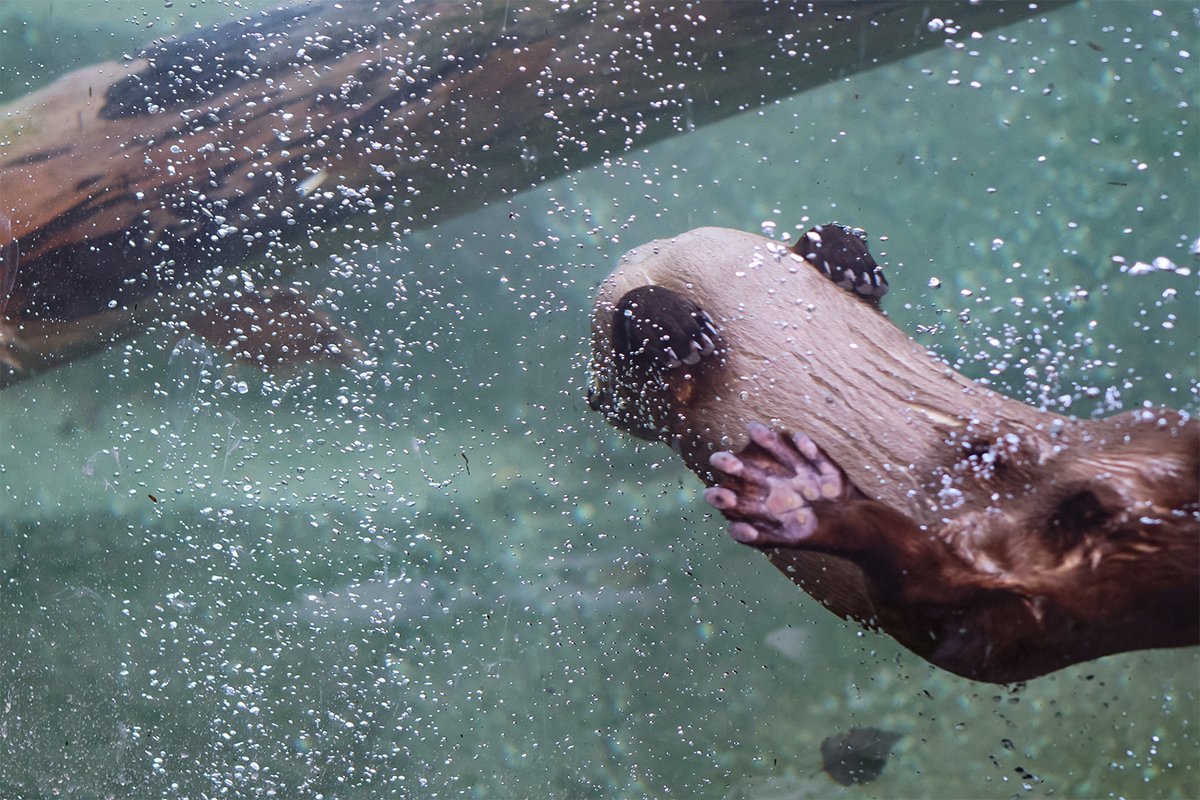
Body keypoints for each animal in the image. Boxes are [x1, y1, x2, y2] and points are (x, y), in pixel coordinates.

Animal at [587, 224, 1198, 684]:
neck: (678, 263)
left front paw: (841, 255)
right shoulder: (615, 391)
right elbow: (619, 396)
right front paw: (667, 323)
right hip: (980, 628)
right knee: (925, 586)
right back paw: (802, 498)